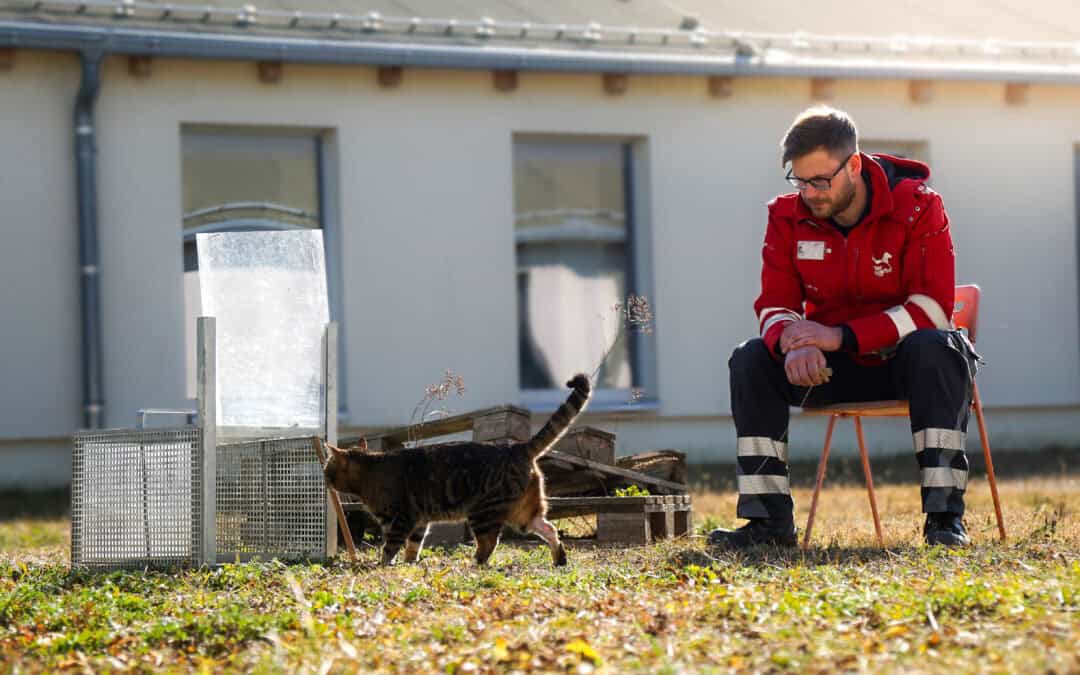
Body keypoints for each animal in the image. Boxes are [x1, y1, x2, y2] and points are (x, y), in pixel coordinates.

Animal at [319, 373, 591, 561]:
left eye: (327, 469)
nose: (323, 478)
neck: (370, 472)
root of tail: (517, 448)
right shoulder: (419, 521)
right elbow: (413, 547)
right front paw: (409, 564)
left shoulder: (400, 519)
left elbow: (390, 548)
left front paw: (385, 565)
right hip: (524, 512)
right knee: (550, 529)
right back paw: (560, 560)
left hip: (484, 511)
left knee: (489, 543)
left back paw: (476, 565)